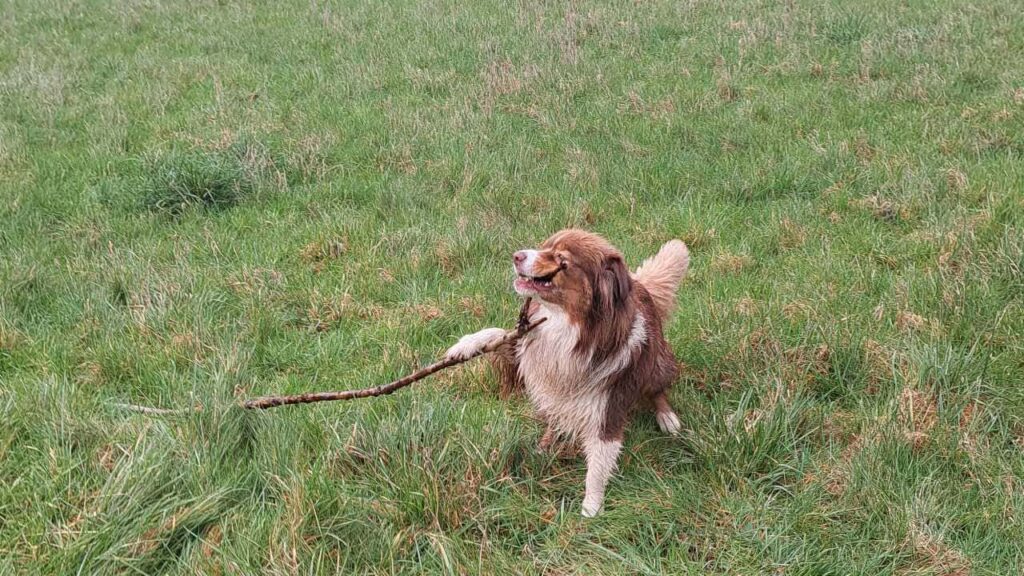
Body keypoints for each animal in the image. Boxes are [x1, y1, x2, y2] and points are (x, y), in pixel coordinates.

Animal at [446, 228, 692, 516]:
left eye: (561, 259)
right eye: (544, 247)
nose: (516, 255)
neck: (566, 326)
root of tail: (639, 283)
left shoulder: (607, 409)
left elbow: (597, 467)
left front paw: (591, 510)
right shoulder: (526, 349)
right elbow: (497, 333)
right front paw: (464, 346)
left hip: (656, 366)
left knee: (658, 389)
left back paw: (667, 417)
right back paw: (544, 445)